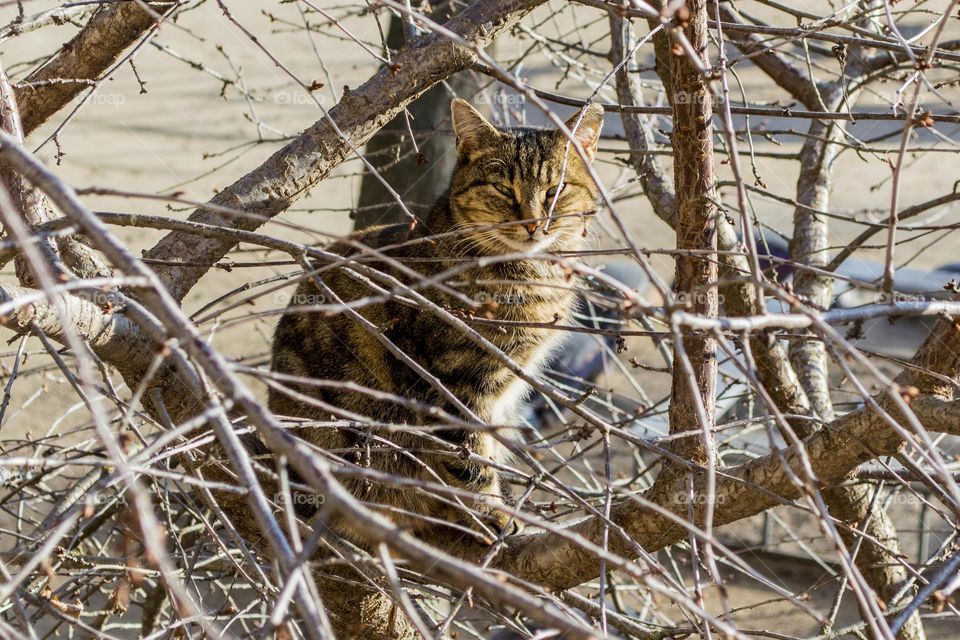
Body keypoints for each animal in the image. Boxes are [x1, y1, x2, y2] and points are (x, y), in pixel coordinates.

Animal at [268, 99, 600, 540]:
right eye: (502, 189)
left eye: (555, 190)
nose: (532, 223)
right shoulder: (454, 384)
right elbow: (468, 458)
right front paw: (490, 511)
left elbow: (487, 448)